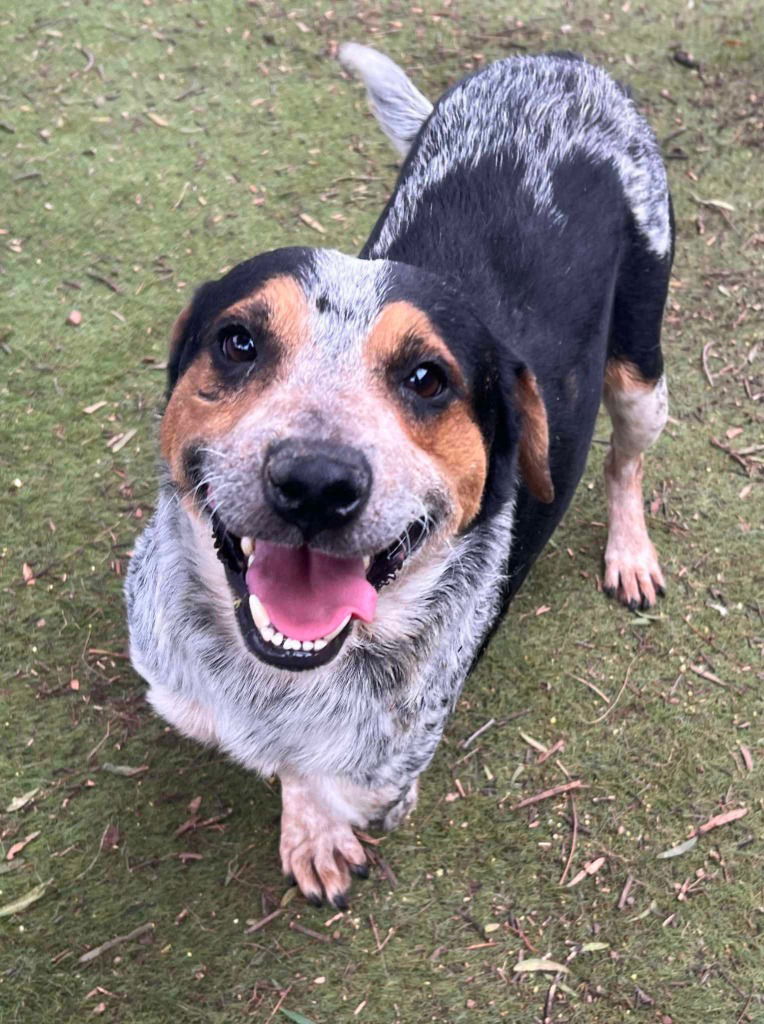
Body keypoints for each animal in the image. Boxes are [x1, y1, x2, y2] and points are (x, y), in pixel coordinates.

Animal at [125, 43, 672, 908]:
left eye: (428, 378)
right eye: (238, 341)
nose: (315, 482)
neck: (265, 681)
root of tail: (558, 60)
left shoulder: (380, 773)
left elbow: (317, 776)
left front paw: (314, 827)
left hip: (642, 370)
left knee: (625, 457)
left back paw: (630, 551)